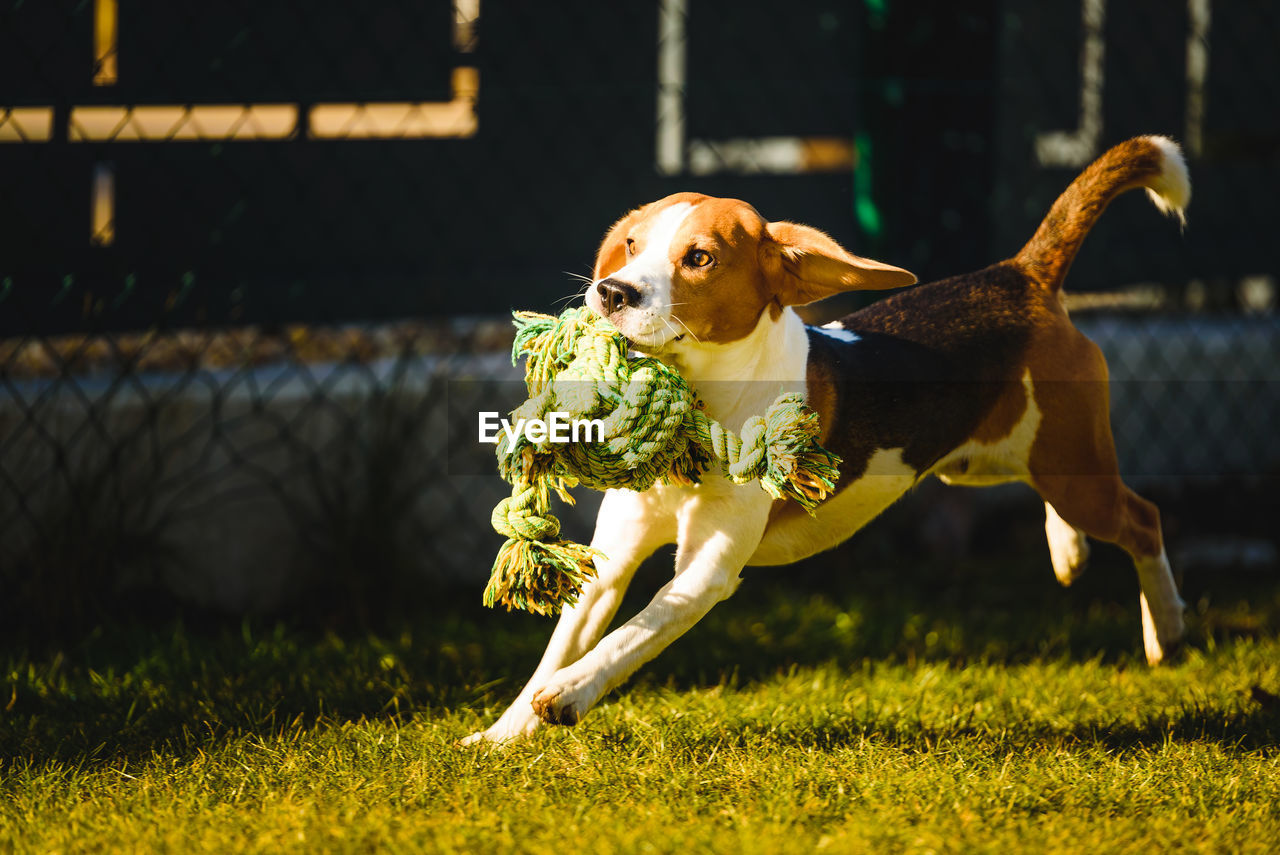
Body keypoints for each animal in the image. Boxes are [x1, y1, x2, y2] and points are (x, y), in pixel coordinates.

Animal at [465, 136, 1192, 742]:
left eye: (698, 258)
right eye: (634, 245)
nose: (611, 291)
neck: (705, 404)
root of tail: (1019, 273)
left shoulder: (706, 571)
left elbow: (635, 633)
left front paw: (570, 694)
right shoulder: (613, 555)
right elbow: (560, 645)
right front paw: (499, 737)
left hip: (1073, 468)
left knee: (1144, 519)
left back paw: (1168, 633)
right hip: (992, 460)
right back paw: (1068, 552)